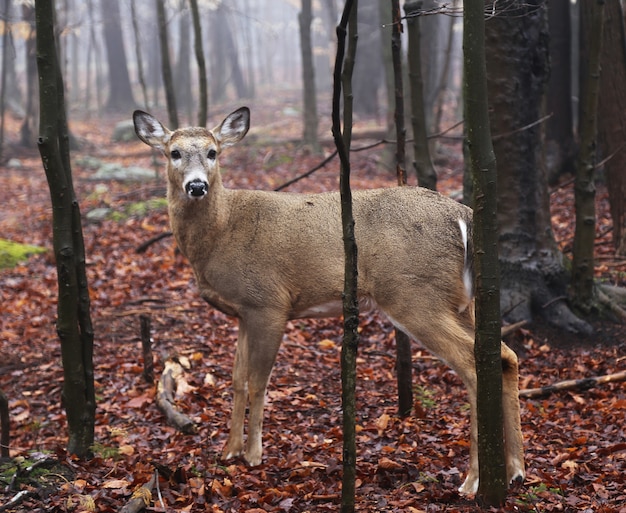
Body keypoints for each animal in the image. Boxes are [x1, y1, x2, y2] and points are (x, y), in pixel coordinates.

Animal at [134, 106, 524, 494]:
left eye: (213, 152)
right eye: (174, 152)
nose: (196, 186)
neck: (221, 231)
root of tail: (463, 215)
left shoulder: (269, 303)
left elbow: (259, 381)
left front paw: (253, 455)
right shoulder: (244, 313)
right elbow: (237, 380)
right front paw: (228, 451)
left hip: (415, 295)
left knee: (472, 364)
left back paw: (472, 481)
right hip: (460, 302)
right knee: (506, 356)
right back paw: (515, 471)